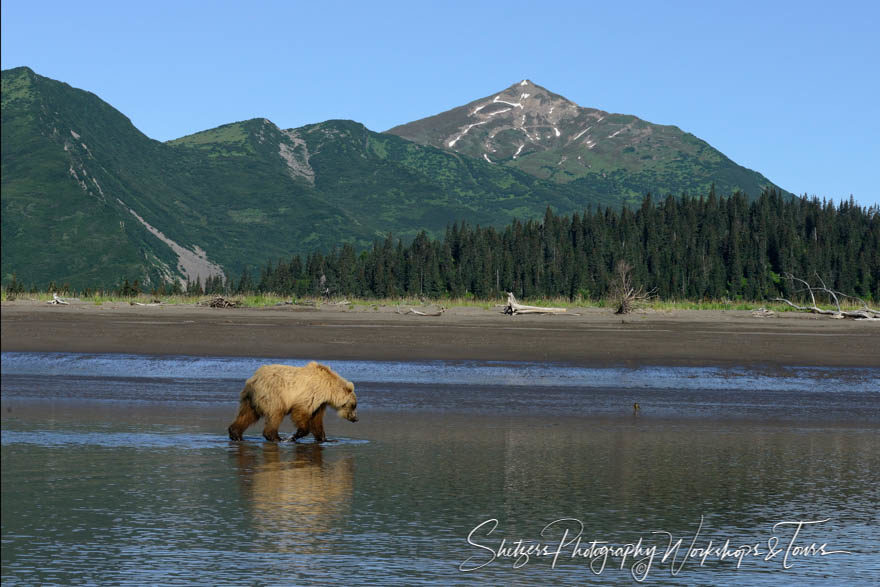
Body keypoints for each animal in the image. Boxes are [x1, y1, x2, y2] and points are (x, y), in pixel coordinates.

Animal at [227, 362, 358, 440]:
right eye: (353, 405)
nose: (355, 418)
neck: (329, 389)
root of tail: (253, 379)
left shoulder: (320, 402)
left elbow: (316, 419)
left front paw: (323, 438)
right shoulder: (311, 393)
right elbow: (300, 412)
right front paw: (296, 435)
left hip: (251, 399)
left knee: (247, 415)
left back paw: (236, 434)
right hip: (273, 394)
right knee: (276, 413)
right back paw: (276, 437)